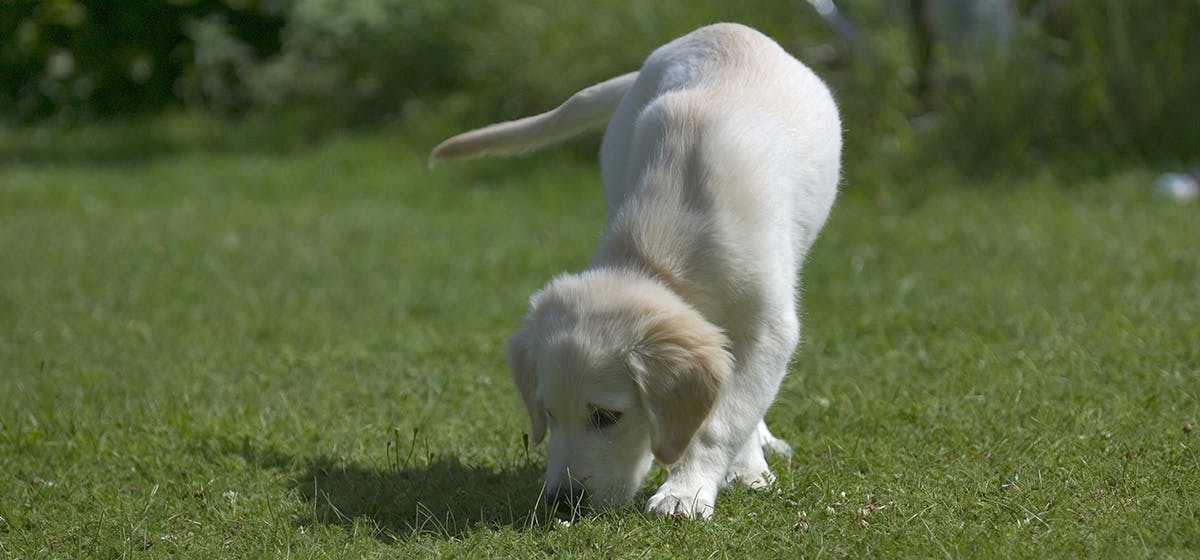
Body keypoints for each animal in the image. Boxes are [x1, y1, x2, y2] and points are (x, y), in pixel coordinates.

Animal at [434, 23, 844, 522]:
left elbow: (723, 419)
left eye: (607, 416)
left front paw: (688, 490)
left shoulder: (768, 325)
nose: (562, 501)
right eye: (548, 413)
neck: (660, 251)